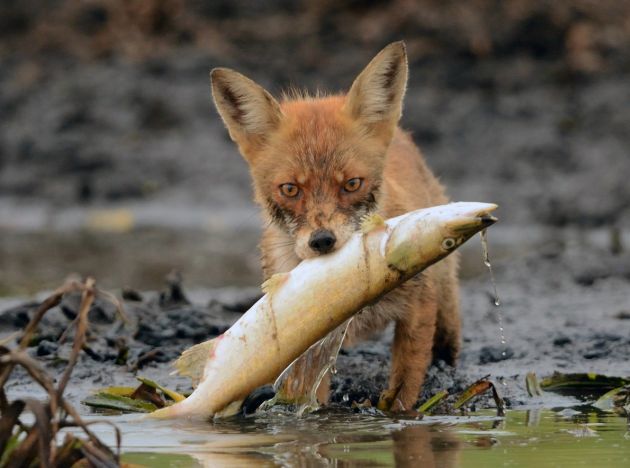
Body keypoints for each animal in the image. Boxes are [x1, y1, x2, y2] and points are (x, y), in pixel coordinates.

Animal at [210, 41, 462, 414]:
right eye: (290, 189)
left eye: (352, 184)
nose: (323, 241)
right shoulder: (305, 332)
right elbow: (309, 394)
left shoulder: (418, 306)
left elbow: (405, 384)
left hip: (443, 293)